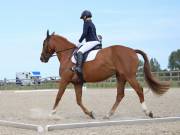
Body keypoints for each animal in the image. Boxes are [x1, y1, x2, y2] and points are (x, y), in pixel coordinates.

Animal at [40, 30, 169, 119]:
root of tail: (132, 50)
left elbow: (58, 96)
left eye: (44, 43)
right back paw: (108, 114)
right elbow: (78, 100)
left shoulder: (65, 80)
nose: (42, 58)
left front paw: (51, 113)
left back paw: (148, 112)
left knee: (139, 90)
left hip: (129, 76)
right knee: (120, 95)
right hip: (121, 77)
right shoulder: (78, 83)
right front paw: (90, 114)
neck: (67, 55)